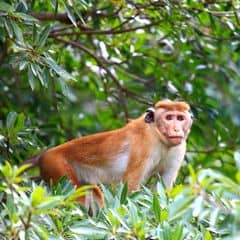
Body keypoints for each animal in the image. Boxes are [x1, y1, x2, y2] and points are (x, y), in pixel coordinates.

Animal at [22, 99, 191, 208]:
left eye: (180, 118)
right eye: (169, 117)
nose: (176, 129)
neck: (157, 135)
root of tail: (45, 154)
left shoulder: (179, 148)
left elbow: (164, 187)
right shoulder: (143, 145)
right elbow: (130, 187)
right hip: (56, 165)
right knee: (86, 195)